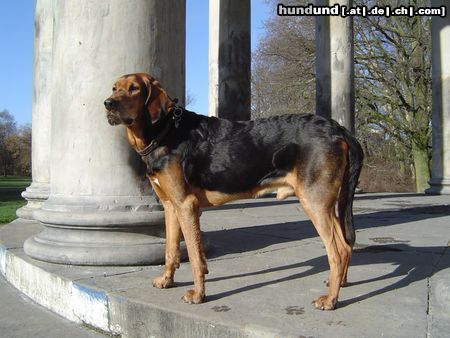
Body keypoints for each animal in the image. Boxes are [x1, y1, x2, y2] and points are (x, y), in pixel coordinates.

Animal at [103, 72, 364, 310]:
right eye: (115, 88)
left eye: (135, 89)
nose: (108, 103)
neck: (165, 132)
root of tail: (338, 129)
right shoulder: (170, 206)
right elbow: (171, 250)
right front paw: (167, 280)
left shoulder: (186, 206)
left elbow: (195, 257)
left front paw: (198, 295)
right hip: (328, 203)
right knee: (346, 245)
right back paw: (339, 284)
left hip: (315, 203)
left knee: (338, 251)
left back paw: (330, 300)